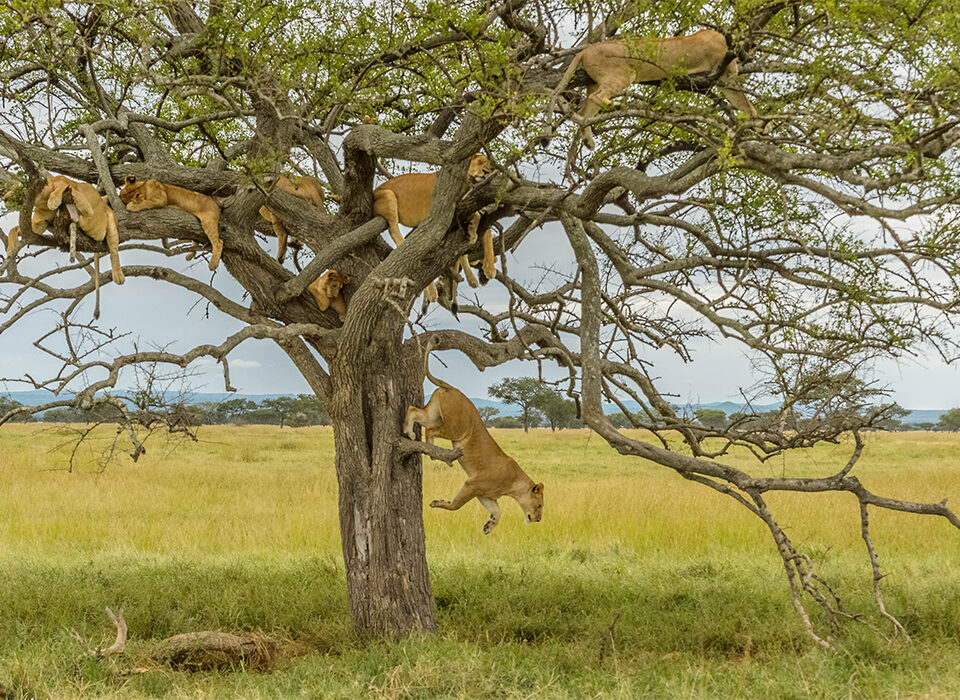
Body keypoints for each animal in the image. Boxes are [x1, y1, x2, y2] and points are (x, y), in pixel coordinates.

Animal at [373, 154, 497, 304]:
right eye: (480, 162)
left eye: (490, 166)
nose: (486, 172)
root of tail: (374, 190)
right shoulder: (447, 213)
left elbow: (477, 226)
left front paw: (473, 235)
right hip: (388, 195)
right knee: (396, 233)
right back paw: (430, 290)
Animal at [404, 346, 544, 534]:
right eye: (539, 506)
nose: (539, 520)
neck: (514, 485)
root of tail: (453, 388)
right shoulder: (473, 484)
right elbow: (456, 505)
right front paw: (438, 503)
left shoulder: (486, 495)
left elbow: (497, 512)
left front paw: (489, 526)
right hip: (455, 428)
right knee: (431, 430)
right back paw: (430, 449)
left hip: (433, 415)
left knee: (414, 411)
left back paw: (409, 433)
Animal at [543, 29, 759, 149]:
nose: (748, 56)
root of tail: (586, 49)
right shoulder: (721, 72)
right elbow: (742, 99)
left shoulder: (726, 79)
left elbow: (743, 103)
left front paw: (759, 124)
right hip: (622, 74)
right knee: (597, 97)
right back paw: (615, 105)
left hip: (594, 81)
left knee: (583, 113)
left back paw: (588, 140)